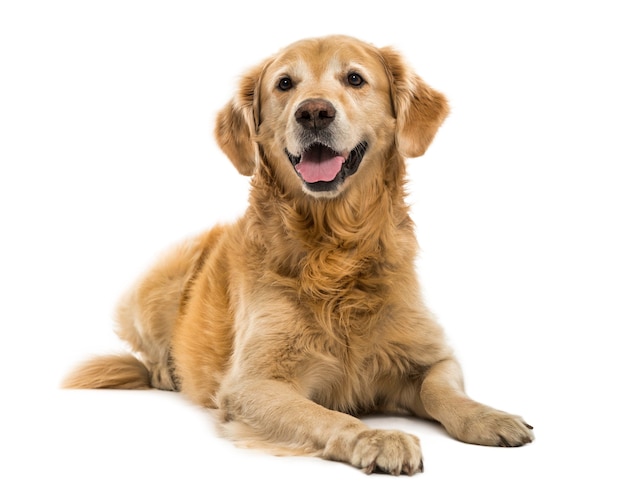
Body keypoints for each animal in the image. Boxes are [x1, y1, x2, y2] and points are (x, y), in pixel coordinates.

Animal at [64, 33, 532, 472]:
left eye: (355, 78)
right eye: (285, 84)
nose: (314, 112)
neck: (335, 248)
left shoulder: (430, 355)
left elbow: (443, 389)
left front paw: (489, 417)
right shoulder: (253, 382)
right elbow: (328, 416)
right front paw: (378, 437)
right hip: (160, 281)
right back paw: (167, 372)